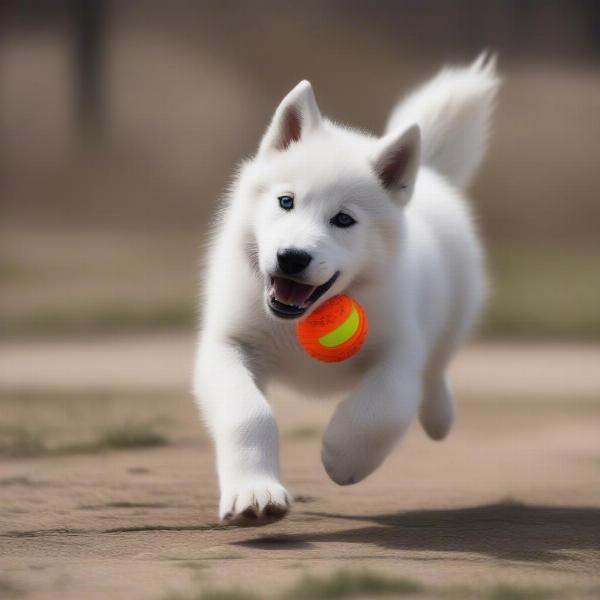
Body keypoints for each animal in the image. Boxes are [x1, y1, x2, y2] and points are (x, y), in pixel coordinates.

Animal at [195, 55, 500, 524]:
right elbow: (248, 413)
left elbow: (381, 408)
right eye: (286, 201)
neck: (301, 319)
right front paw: (255, 493)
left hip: (456, 310)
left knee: (436, 366)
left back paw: (439, 416)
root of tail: (430, 173)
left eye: (343, 219)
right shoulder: (228, 345)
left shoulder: (399, 353)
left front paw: (342, 457)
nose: (291, 257)